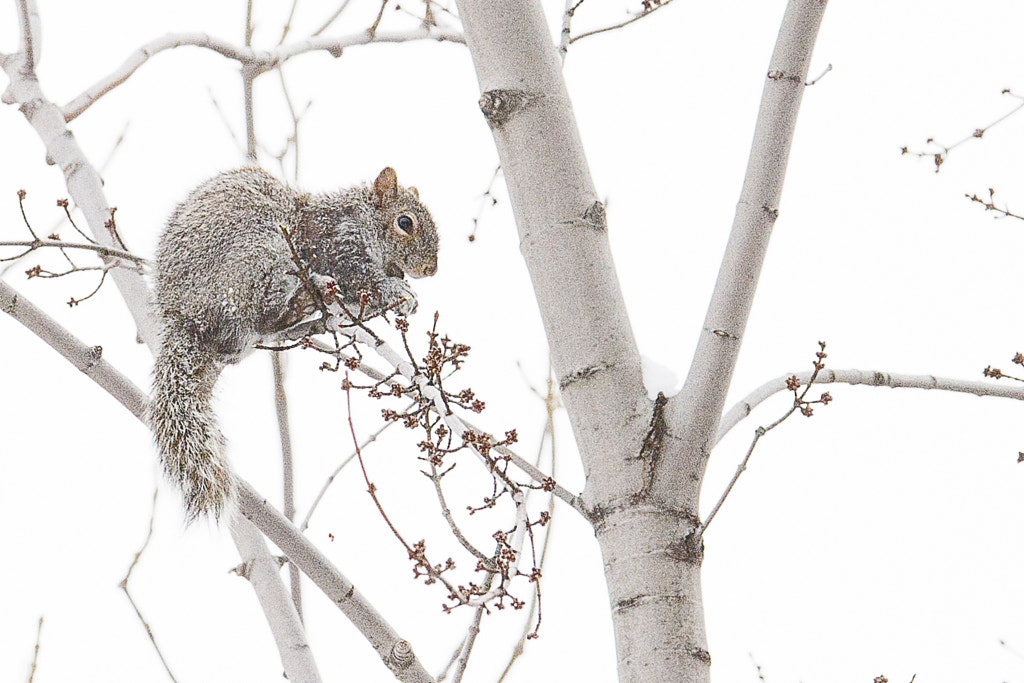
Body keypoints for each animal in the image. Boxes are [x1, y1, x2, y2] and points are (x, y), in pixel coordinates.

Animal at [149, 167, 438, 520]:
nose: (431, 269)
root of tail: (184, 316)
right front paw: (401, 293)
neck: (358, 217)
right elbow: (366, 281)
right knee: (263, 313)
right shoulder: (340, 247)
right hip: (257, 257)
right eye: (405, 222)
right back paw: (304, 296)